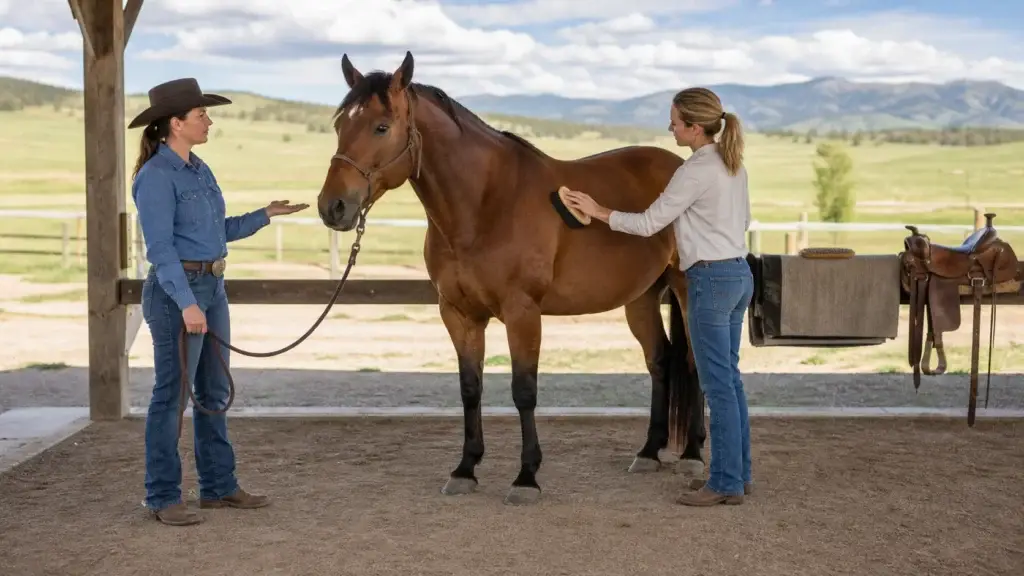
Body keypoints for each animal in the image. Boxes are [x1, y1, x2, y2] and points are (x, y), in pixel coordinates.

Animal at [316, 51, 706, 505]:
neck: (486, 203)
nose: (333, 207)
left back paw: (693, 453)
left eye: (381, 126)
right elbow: (470, 388)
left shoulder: (522, 312)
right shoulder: (459, 314)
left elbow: (524, 391)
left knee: (694, 361)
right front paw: (465, 469)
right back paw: (648, 451)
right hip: (641, 297)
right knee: (660, 361)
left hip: (686, 289)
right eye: (340, 126)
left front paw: (526, 476)